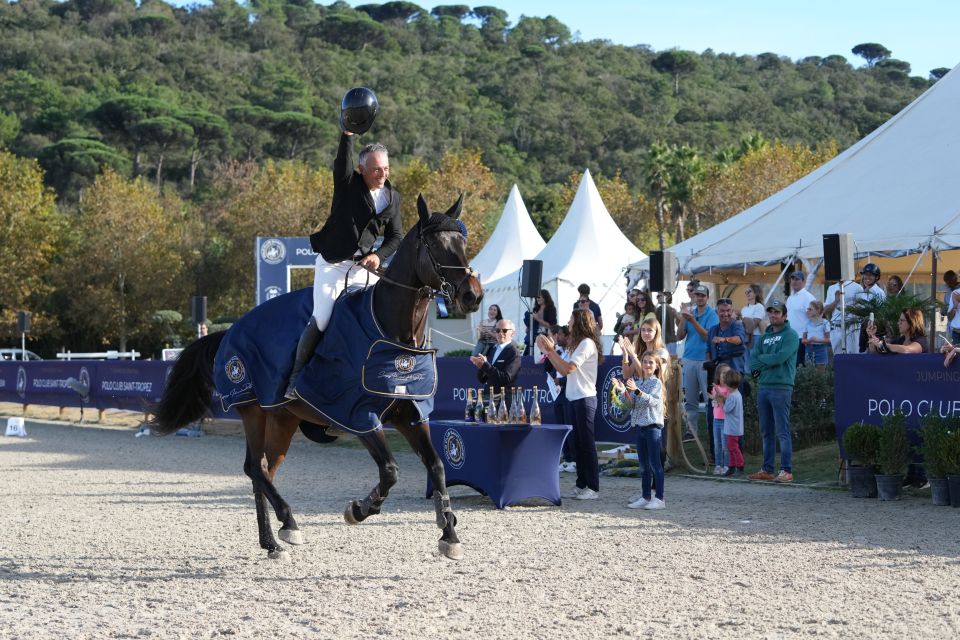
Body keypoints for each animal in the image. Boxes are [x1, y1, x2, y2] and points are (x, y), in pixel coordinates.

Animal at [150, 195, 484, 560]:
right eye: (436, 245)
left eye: (463, 243)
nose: (473, 295)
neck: (391, 329)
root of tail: (230, 331)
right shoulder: (358, 415)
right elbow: (390, 471)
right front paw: (358, 510)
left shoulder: (410, 414)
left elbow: (437, 466)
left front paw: (449, 533)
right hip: (252, 410)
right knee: (254, 468)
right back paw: (289, 524)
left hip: (281, 421)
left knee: (263, 469)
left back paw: (271, 542)